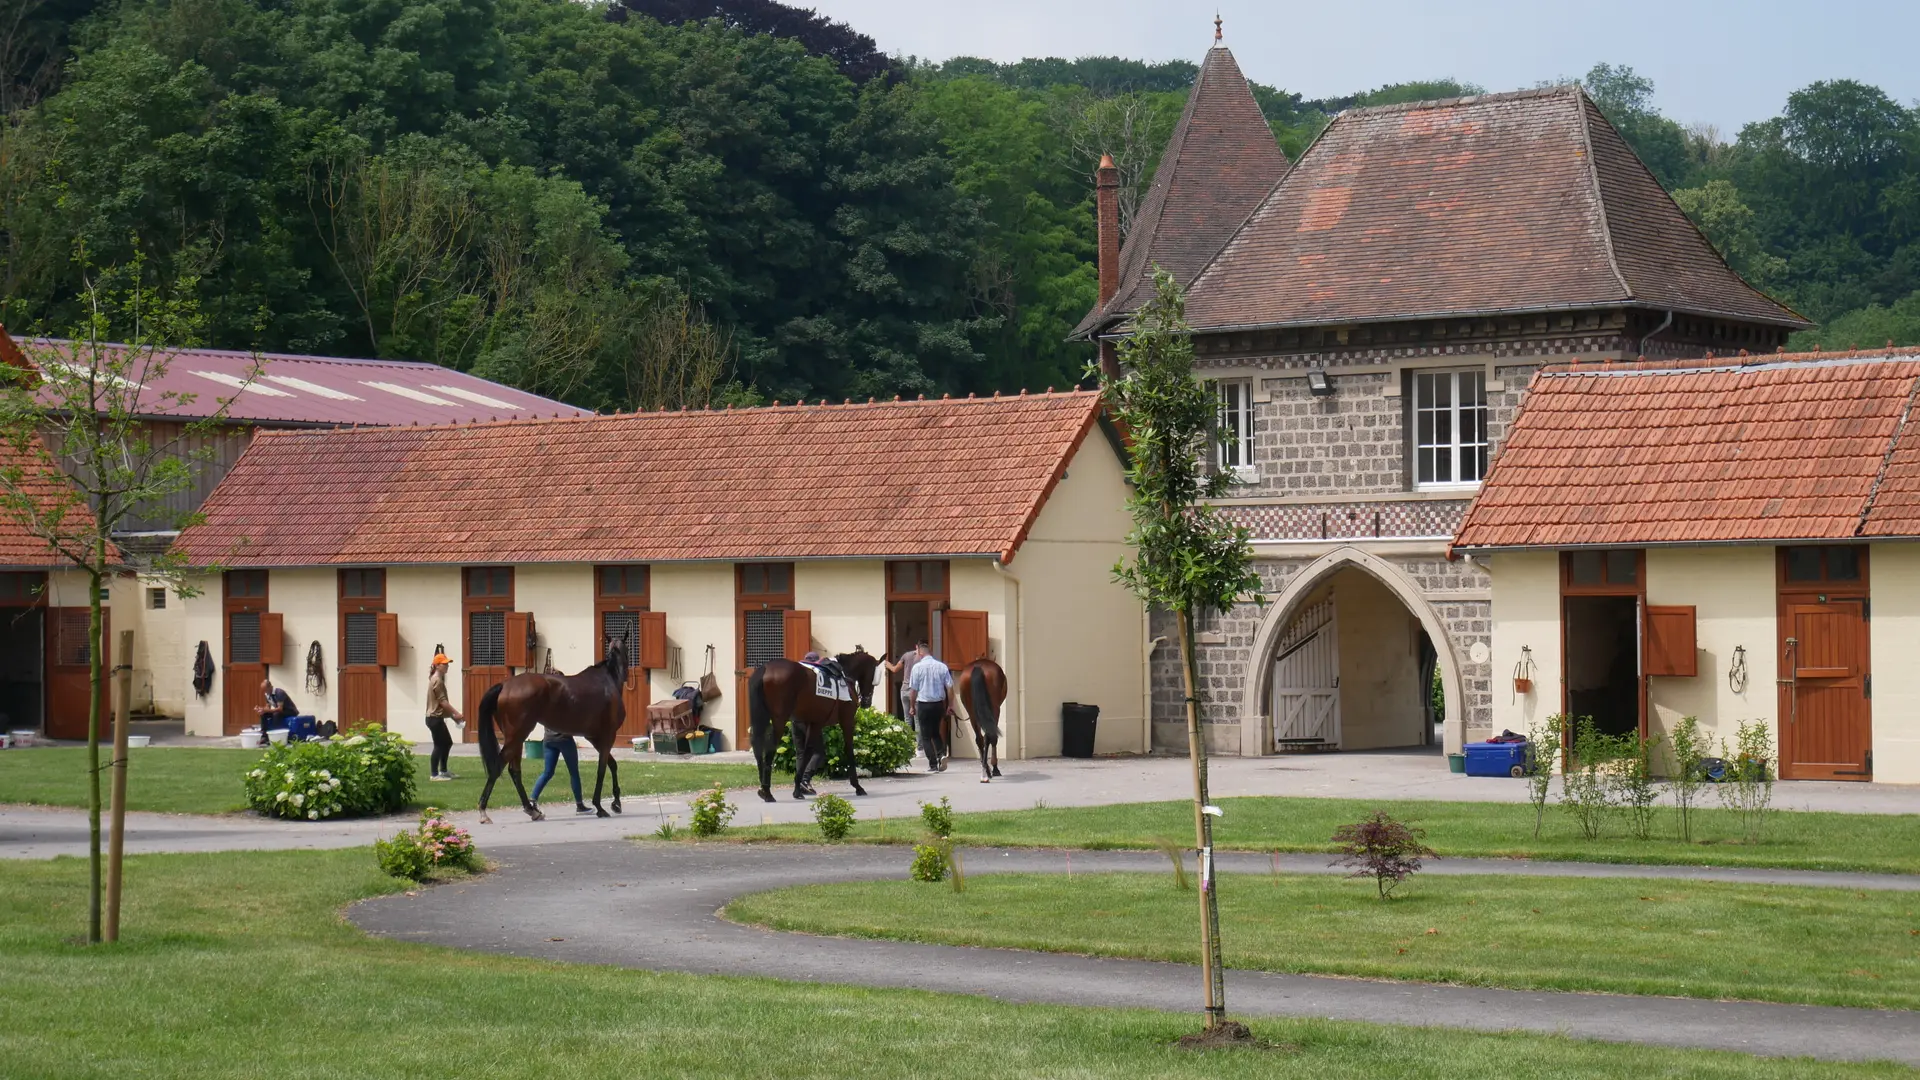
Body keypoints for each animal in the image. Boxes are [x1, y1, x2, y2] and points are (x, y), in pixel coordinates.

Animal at [476, 634, 625, 818]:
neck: (607, 679)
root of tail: (505, 686)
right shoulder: (607, 735)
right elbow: (602, 769)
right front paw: (603, 805)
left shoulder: (594, 737)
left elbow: (611, 764)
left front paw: (615, 803)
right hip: (517, 735)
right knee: (498, 767)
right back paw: (484, 810)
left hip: (516, 738)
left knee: (514, 770)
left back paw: (531, 809)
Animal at [744, 645, 879, 799]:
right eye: (873, 674)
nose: (867, 701)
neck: (844, 673)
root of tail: (765, 667)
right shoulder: (847, 720)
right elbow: (849, 750)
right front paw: (857, 786)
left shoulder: (813, 723)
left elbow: (806, 753)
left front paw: (799, 786)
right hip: (779, 719)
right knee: (770, 747)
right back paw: (767, 791)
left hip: (763, 716)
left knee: (757, 744)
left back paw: (763, 786)